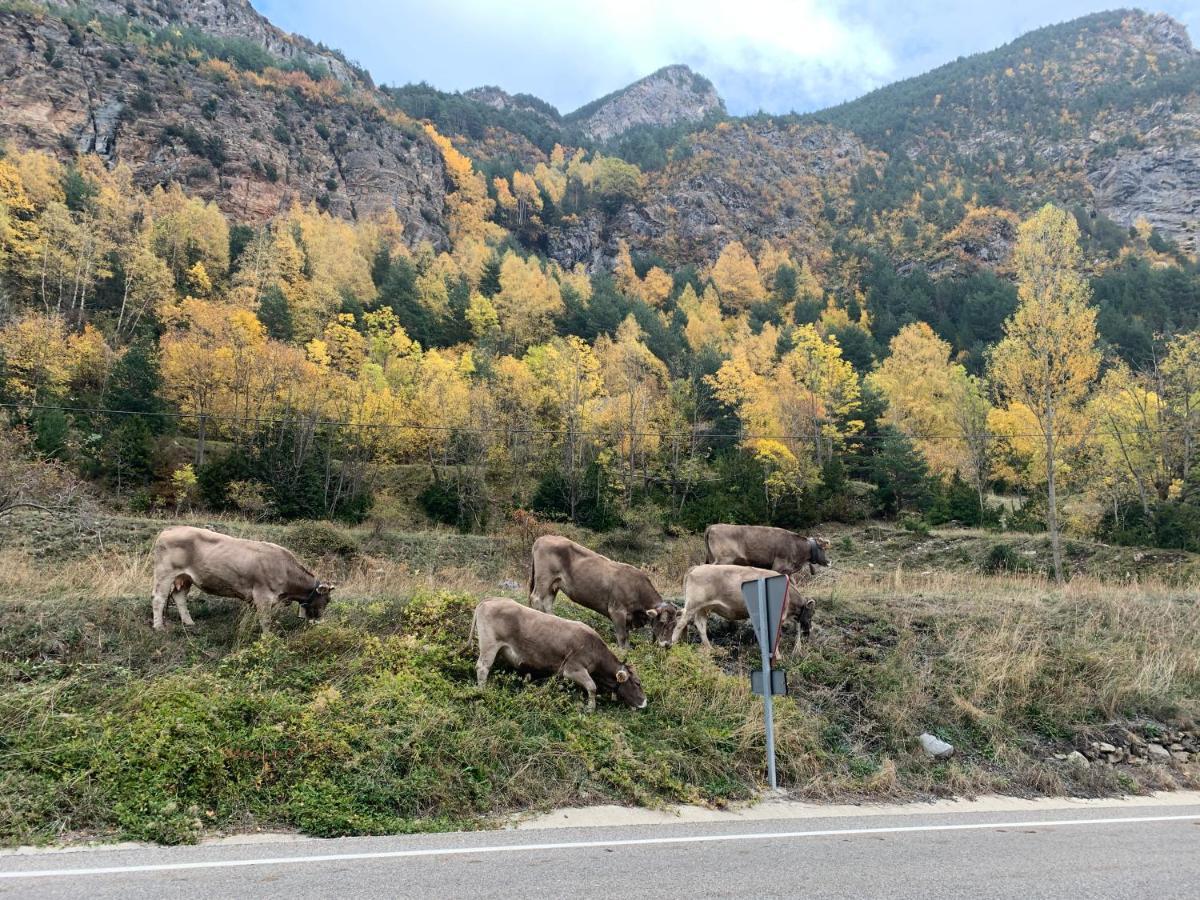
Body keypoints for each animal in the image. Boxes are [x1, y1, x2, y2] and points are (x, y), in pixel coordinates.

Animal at [153, 528, 338, 633]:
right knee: (158, 599)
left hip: (185, 577)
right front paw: (268, 638)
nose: (319, 622)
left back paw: (189, 622)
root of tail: (169, 530)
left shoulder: (252, 598)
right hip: (165, 573)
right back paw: (158, 627)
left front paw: (242, 629)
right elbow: (265, 621)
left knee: (179, 597)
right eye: (327, 600)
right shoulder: (263, 596)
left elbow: (248, 618)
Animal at [472, 595, 652, 715]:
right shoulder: (573, 669)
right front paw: (590, 708)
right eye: (637, 683)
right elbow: (592, 687)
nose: (645, 702)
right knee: (482, 667)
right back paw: (482, 691)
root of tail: (491, 599)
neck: (596, 650)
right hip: (490, 644)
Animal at [530, 540, 681, 652]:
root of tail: (542, 538)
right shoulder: (617, 610)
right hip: (544, 578)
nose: (668, 645)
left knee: (547, 603)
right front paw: (623, 652)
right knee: (536, 598)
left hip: (554, 584)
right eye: (663, 622)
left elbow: (627, 636)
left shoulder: (628, 617)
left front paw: (628, 650)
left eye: (674, 624)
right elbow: (622, 635)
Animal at [667, 564, 816, 657]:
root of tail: (697, 567)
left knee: (700, 625)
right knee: (681, 622)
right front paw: (777, 656)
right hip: (693, 604)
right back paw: (672, 643)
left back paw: (709, 648)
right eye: (811, 615)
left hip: (702, 608)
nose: (808, 631)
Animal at [700, 520, 830, 578]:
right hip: (723, 559)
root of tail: (712, 526)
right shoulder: (778, 566)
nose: (829, 562)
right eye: (823, 549)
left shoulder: (788, 571)